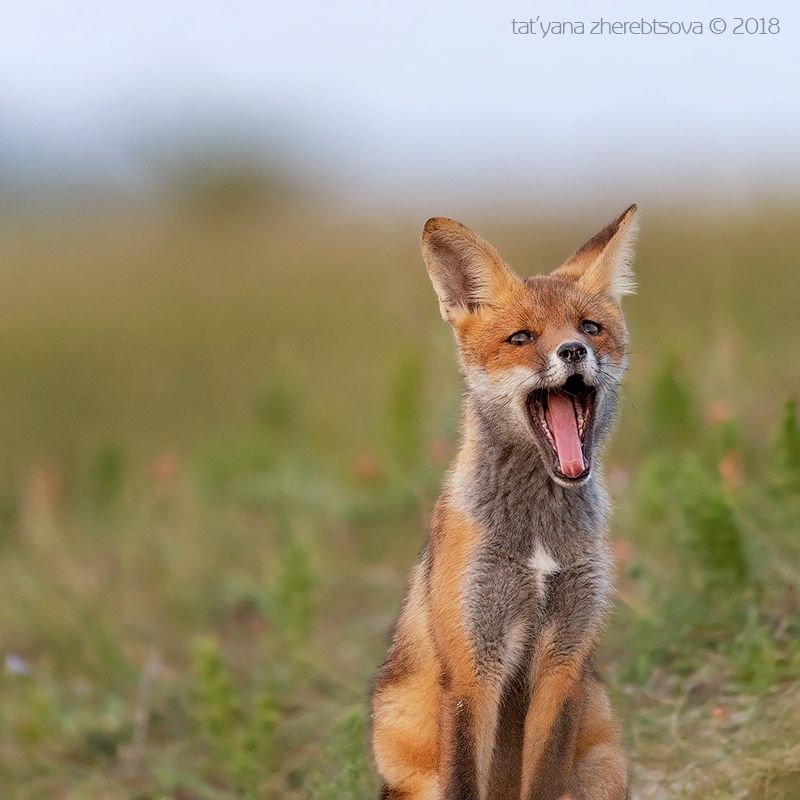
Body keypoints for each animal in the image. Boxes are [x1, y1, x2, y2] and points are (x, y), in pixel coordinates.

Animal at [370, 206, 640, 800]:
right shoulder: (473, 665)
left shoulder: (566, 660)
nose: (573, 351)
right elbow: (465, 781)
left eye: (589, 328)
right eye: (522, 337)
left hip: (604, 762)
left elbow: (544, 779)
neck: (538, 537)